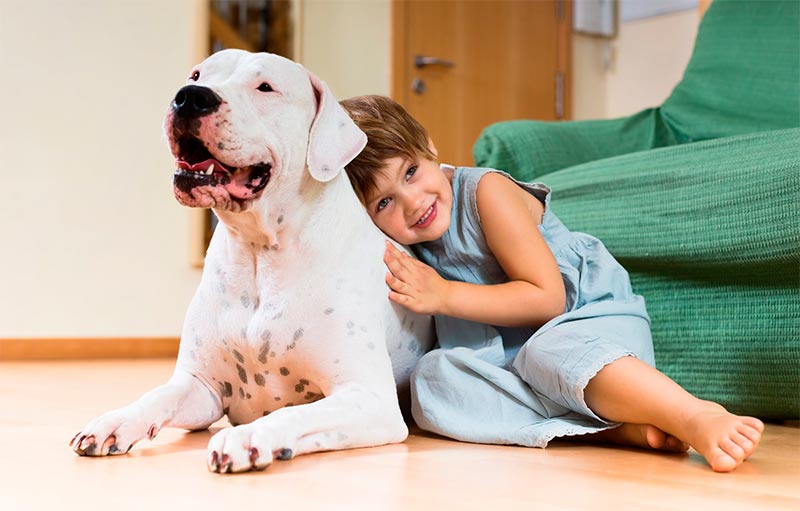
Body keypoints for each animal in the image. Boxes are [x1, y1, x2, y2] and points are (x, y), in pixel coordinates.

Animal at [69, 50, 434, 474]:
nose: (189, 97)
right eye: (196, 75)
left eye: (265, 87)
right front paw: (116, 421)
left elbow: (294, 412)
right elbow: (158, 395)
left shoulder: (368, 397)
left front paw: (248, 436)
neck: (260, 253)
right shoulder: (202, 388)